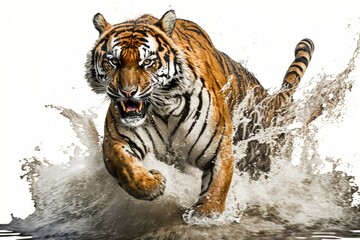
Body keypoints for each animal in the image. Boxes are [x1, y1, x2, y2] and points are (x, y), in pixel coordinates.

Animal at [83, 9, 312, 216]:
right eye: (113, 61)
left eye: (147, 62)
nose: (128, 92)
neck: (162, 106)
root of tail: (268, 99)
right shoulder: (116, 140)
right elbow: (126, 168)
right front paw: (153, 182)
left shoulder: (218, 148)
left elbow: (216, 188)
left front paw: (205, 216)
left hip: (261, 156)